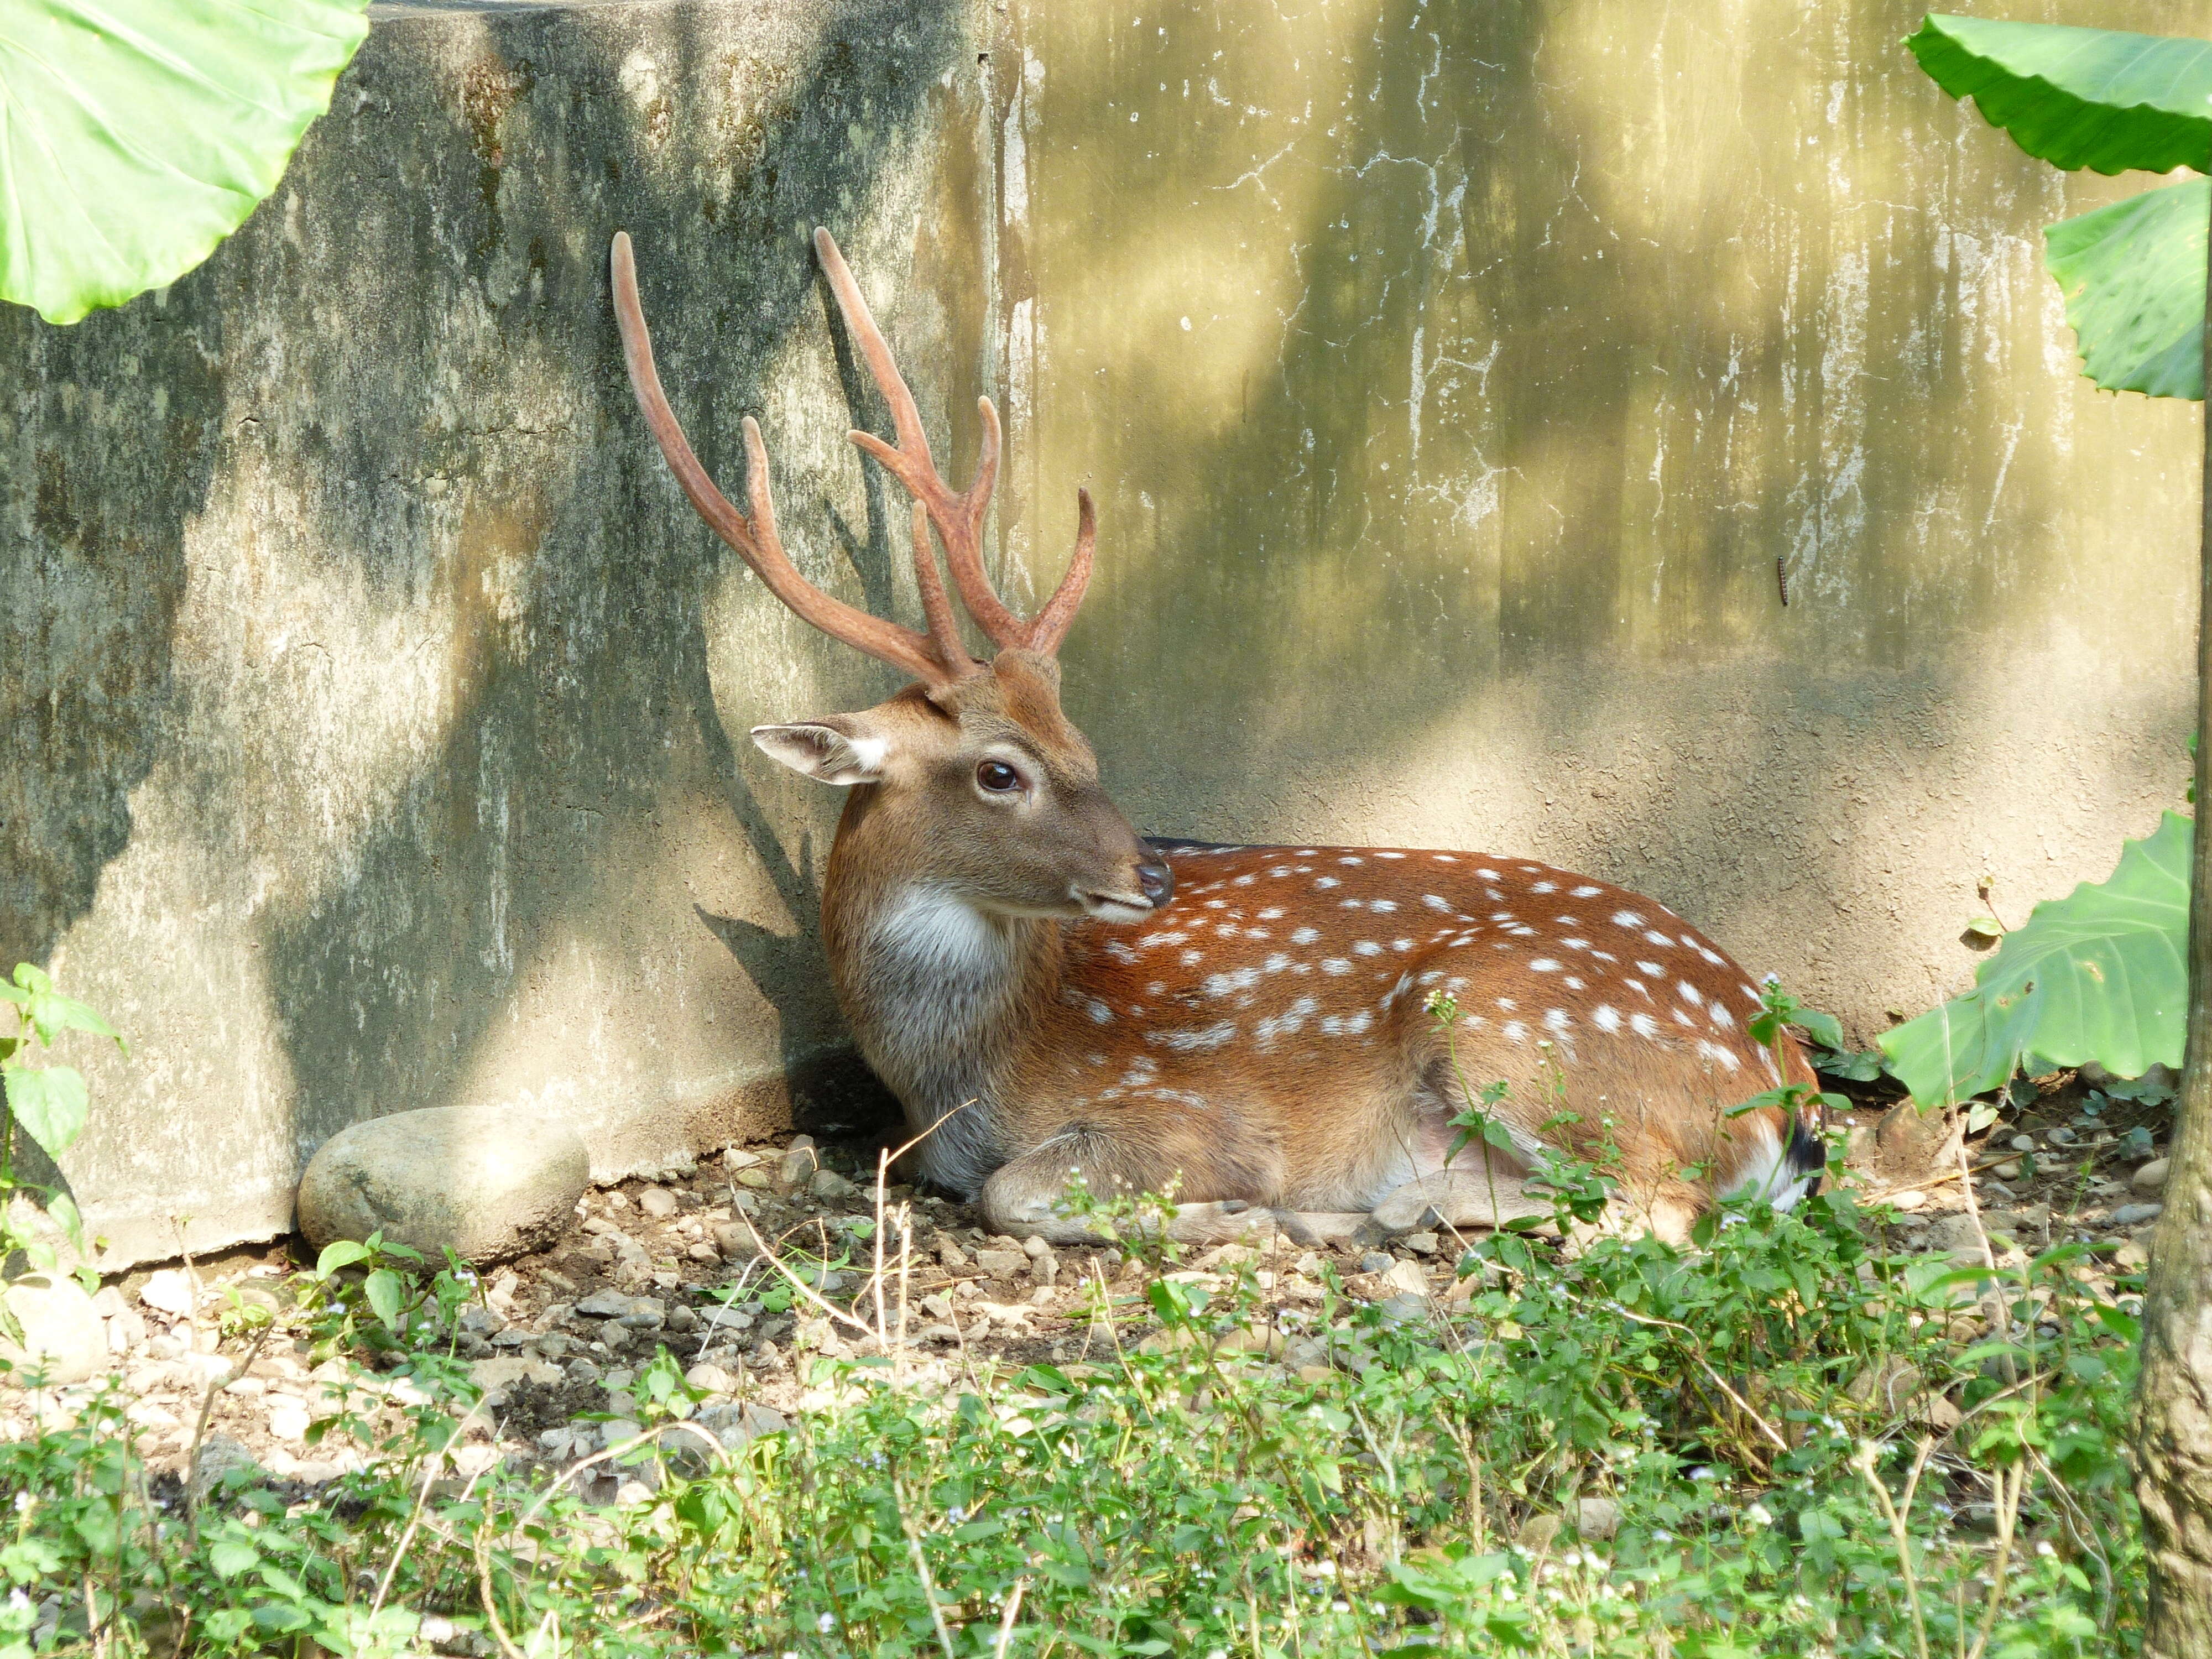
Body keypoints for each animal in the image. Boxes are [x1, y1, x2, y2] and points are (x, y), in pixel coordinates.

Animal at [606, 231, 1814, 1248]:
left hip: (1518, 1027)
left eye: (1079, 743)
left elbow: (1015, 1191)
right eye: (1001, 771)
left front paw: (1228, 1212)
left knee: (1654, 1212)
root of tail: (1787, 1088)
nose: (1150, 871)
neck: (963, 1072)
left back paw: (1350, 1214)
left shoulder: (1185, 1108)